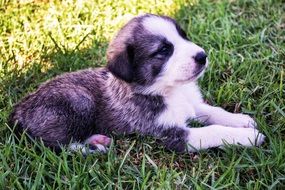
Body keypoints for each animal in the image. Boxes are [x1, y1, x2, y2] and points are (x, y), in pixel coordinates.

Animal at [8, 14, 264, 154]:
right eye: (163, 50)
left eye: (184, 36)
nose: (202, 56)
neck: (168, 90)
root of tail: (17, 111)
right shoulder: (170, 135)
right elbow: (213, 130)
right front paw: (249, 137)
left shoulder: (191, 105)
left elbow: (212, 111)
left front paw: (241, 120)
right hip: (78, 101)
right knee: (51, 144)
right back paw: (92, 147)